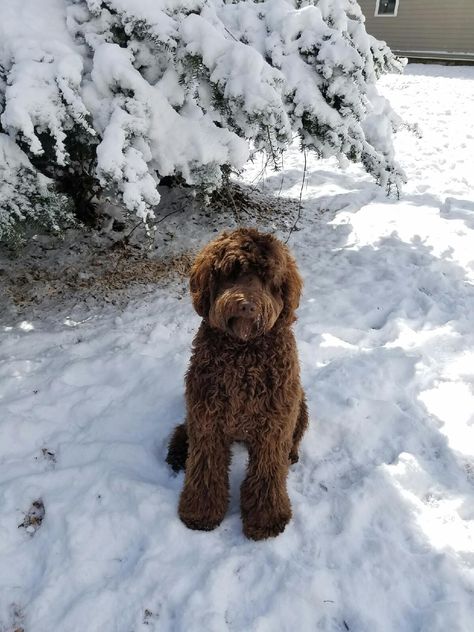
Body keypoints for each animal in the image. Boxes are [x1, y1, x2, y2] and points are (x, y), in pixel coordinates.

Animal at [167, 227, 308, 540]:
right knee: (185, 432)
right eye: (231, 273)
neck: (243, 354)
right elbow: (205, 468)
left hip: (301, 405)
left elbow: (267, 473)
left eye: (267, 278)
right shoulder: (207, 419)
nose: (247, 305)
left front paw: (266, 518)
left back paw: (291, 454)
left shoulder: (274, 424)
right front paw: (200, 512)